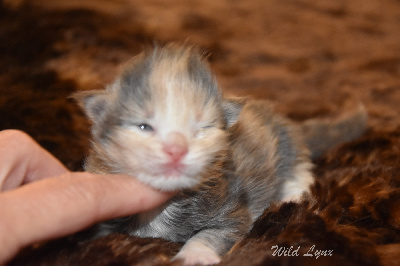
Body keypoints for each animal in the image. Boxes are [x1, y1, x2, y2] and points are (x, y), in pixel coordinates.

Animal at [73, 44, 368, 266]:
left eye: (202, 129)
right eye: (144, 127)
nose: (176, 150)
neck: (162, 207)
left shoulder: (233, 208)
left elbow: (214, 234)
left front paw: (194, 255)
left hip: (285, 141)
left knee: (298, 166)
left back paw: (294, 196)